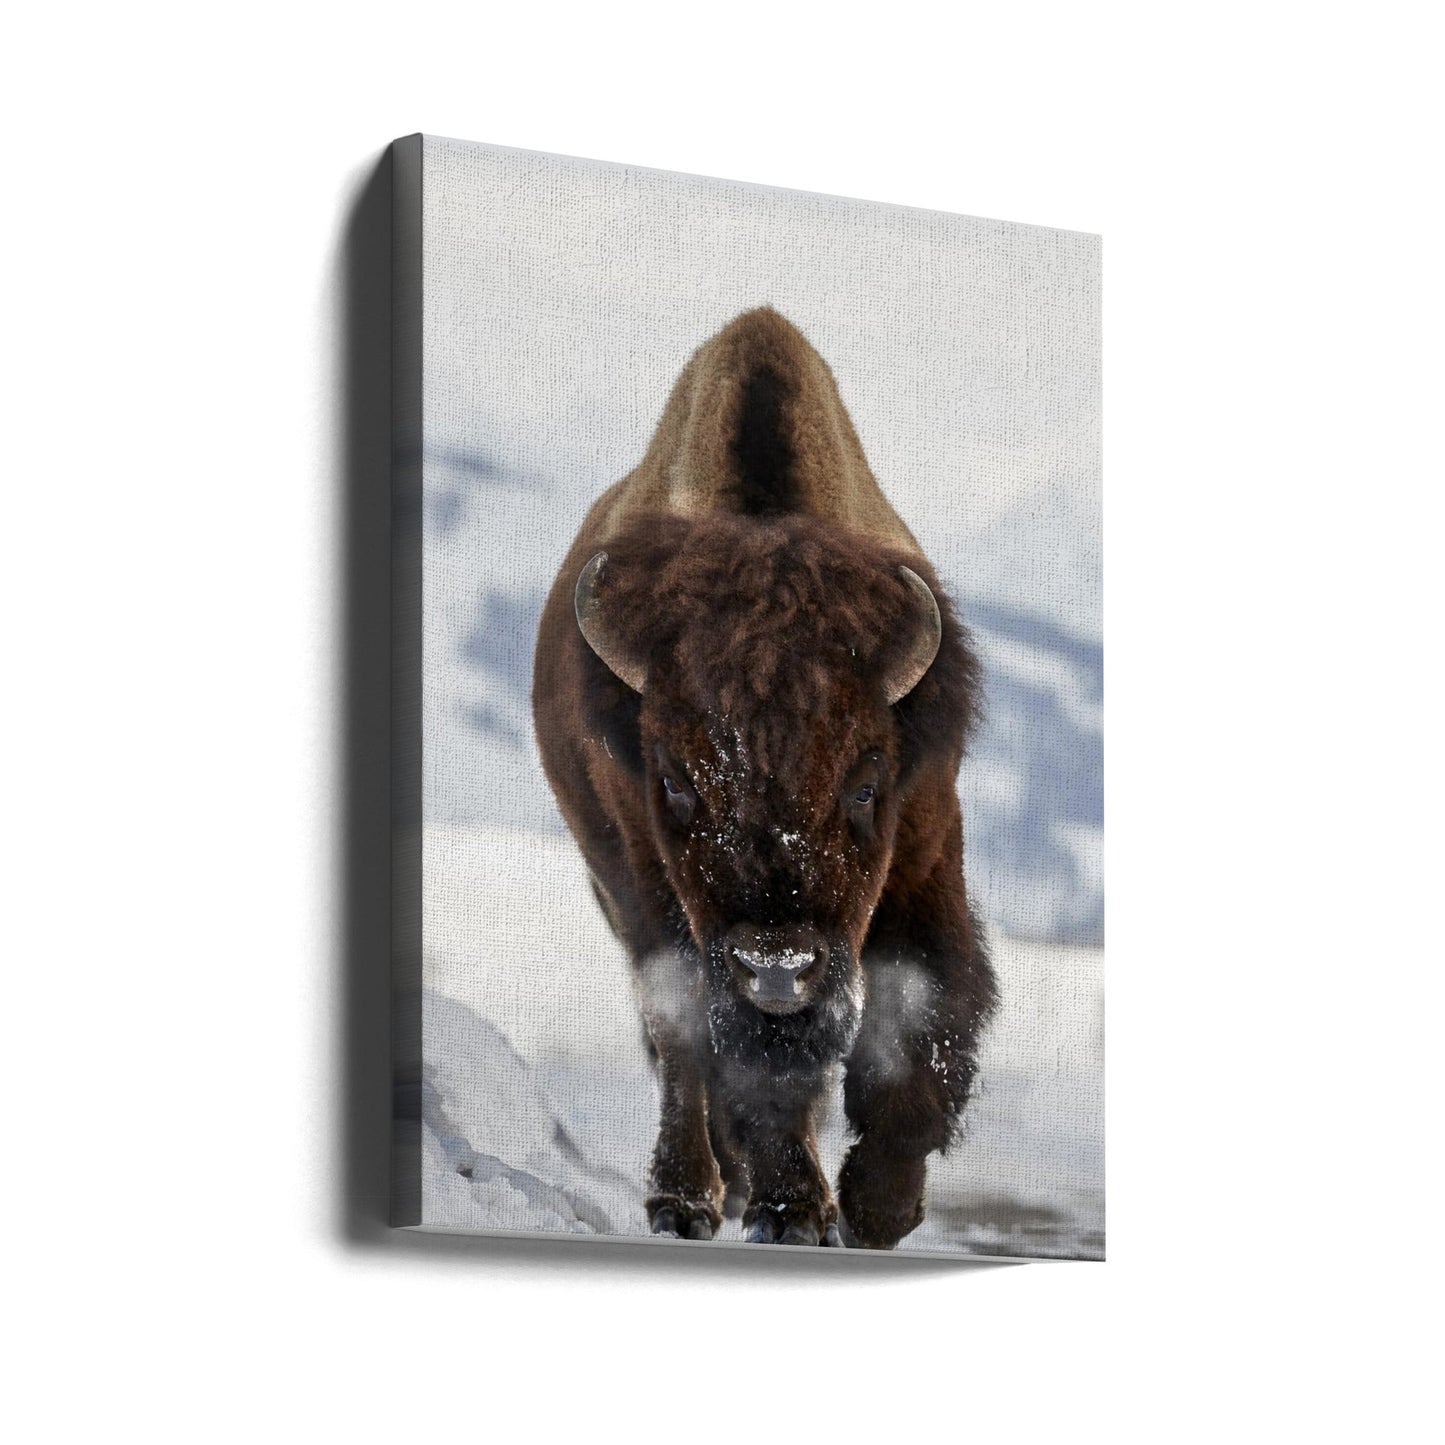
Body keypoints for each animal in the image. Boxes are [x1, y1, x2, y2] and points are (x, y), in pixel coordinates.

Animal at [532, 307, 996, 1249]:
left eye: (866, 784)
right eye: (676, 783)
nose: (776, 968)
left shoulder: (926, 848)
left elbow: (921, 1010)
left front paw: (879, 1206)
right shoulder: (655, 884)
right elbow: (723, 1050)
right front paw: (790, 1210)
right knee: (679, 1041)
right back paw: (690, 1198)